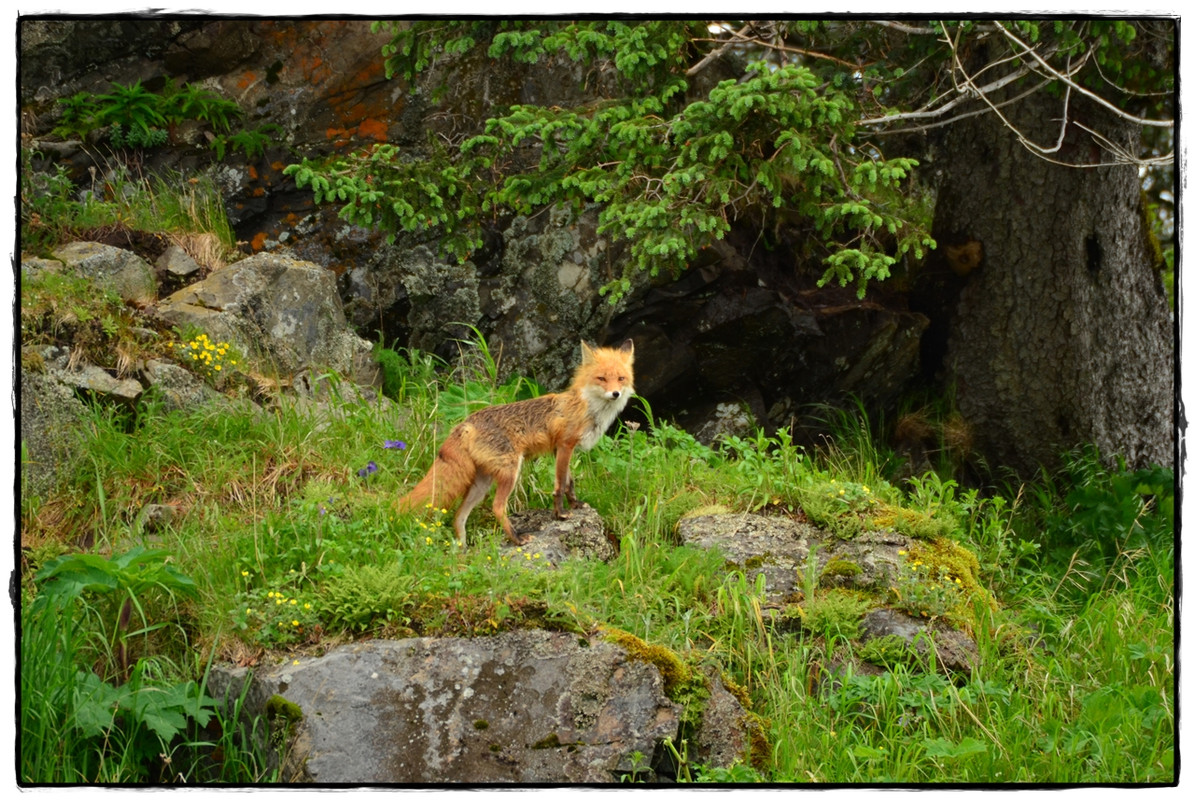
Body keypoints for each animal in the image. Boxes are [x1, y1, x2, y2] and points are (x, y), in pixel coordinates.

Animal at [396, 337, 635, 550]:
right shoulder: (565, 445)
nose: (615, 393)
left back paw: (462, 555)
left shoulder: (560, 449)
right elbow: (559, 486)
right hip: (510, 472)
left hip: (482, 482)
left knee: (458, 516)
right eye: (602, 378)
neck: (586, 407)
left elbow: (569, 482)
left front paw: (575, 505)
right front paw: (560, 514)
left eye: (621, 378)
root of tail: (466, 423)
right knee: (497, 507)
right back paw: (517, 539)